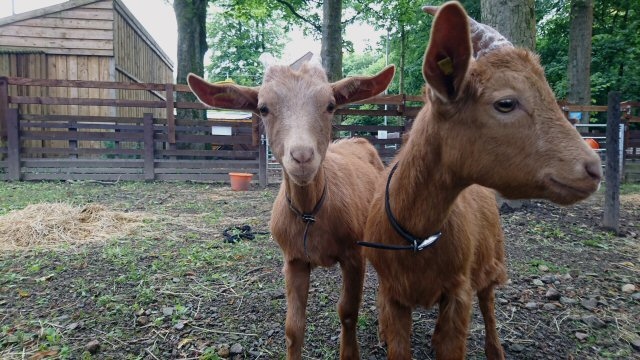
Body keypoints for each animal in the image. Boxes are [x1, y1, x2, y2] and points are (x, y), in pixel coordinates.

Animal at [186, 60, 396, 358]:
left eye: (330, 105)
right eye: (263, 108)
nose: (302, 157)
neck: (311, 213)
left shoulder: (354, 255)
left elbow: (347, 313)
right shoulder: (294, 259)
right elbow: (293, 327)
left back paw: (386, 333)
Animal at [362, 3, 604, 360]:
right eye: (506, 102)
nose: (593, 169)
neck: (416, 236)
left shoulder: (459, 291)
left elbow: (455, 341)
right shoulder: (393, 294)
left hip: (493, 260)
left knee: (488, 304)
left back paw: (496, 350)